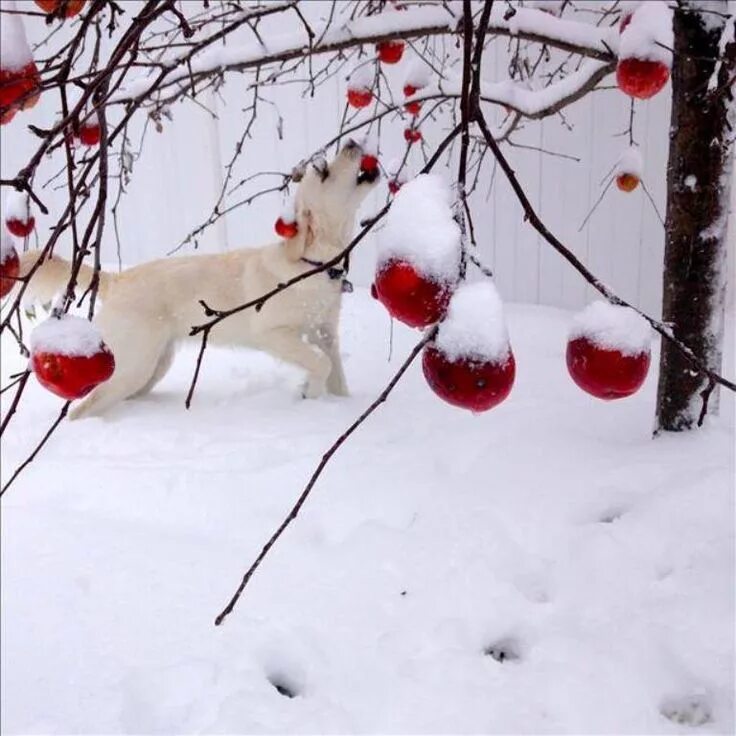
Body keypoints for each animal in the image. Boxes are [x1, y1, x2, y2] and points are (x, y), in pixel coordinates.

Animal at [17, 140, 380, 416]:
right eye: (325, 172)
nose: (351, 142)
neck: (314, 264)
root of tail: (116, 280)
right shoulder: (273, 334)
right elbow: (321, 364)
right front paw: (310, 394)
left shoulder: (326, 332)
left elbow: (337, 375)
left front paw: (339, 404)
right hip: (134, 365)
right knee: (82, 410)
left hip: (151, 366)